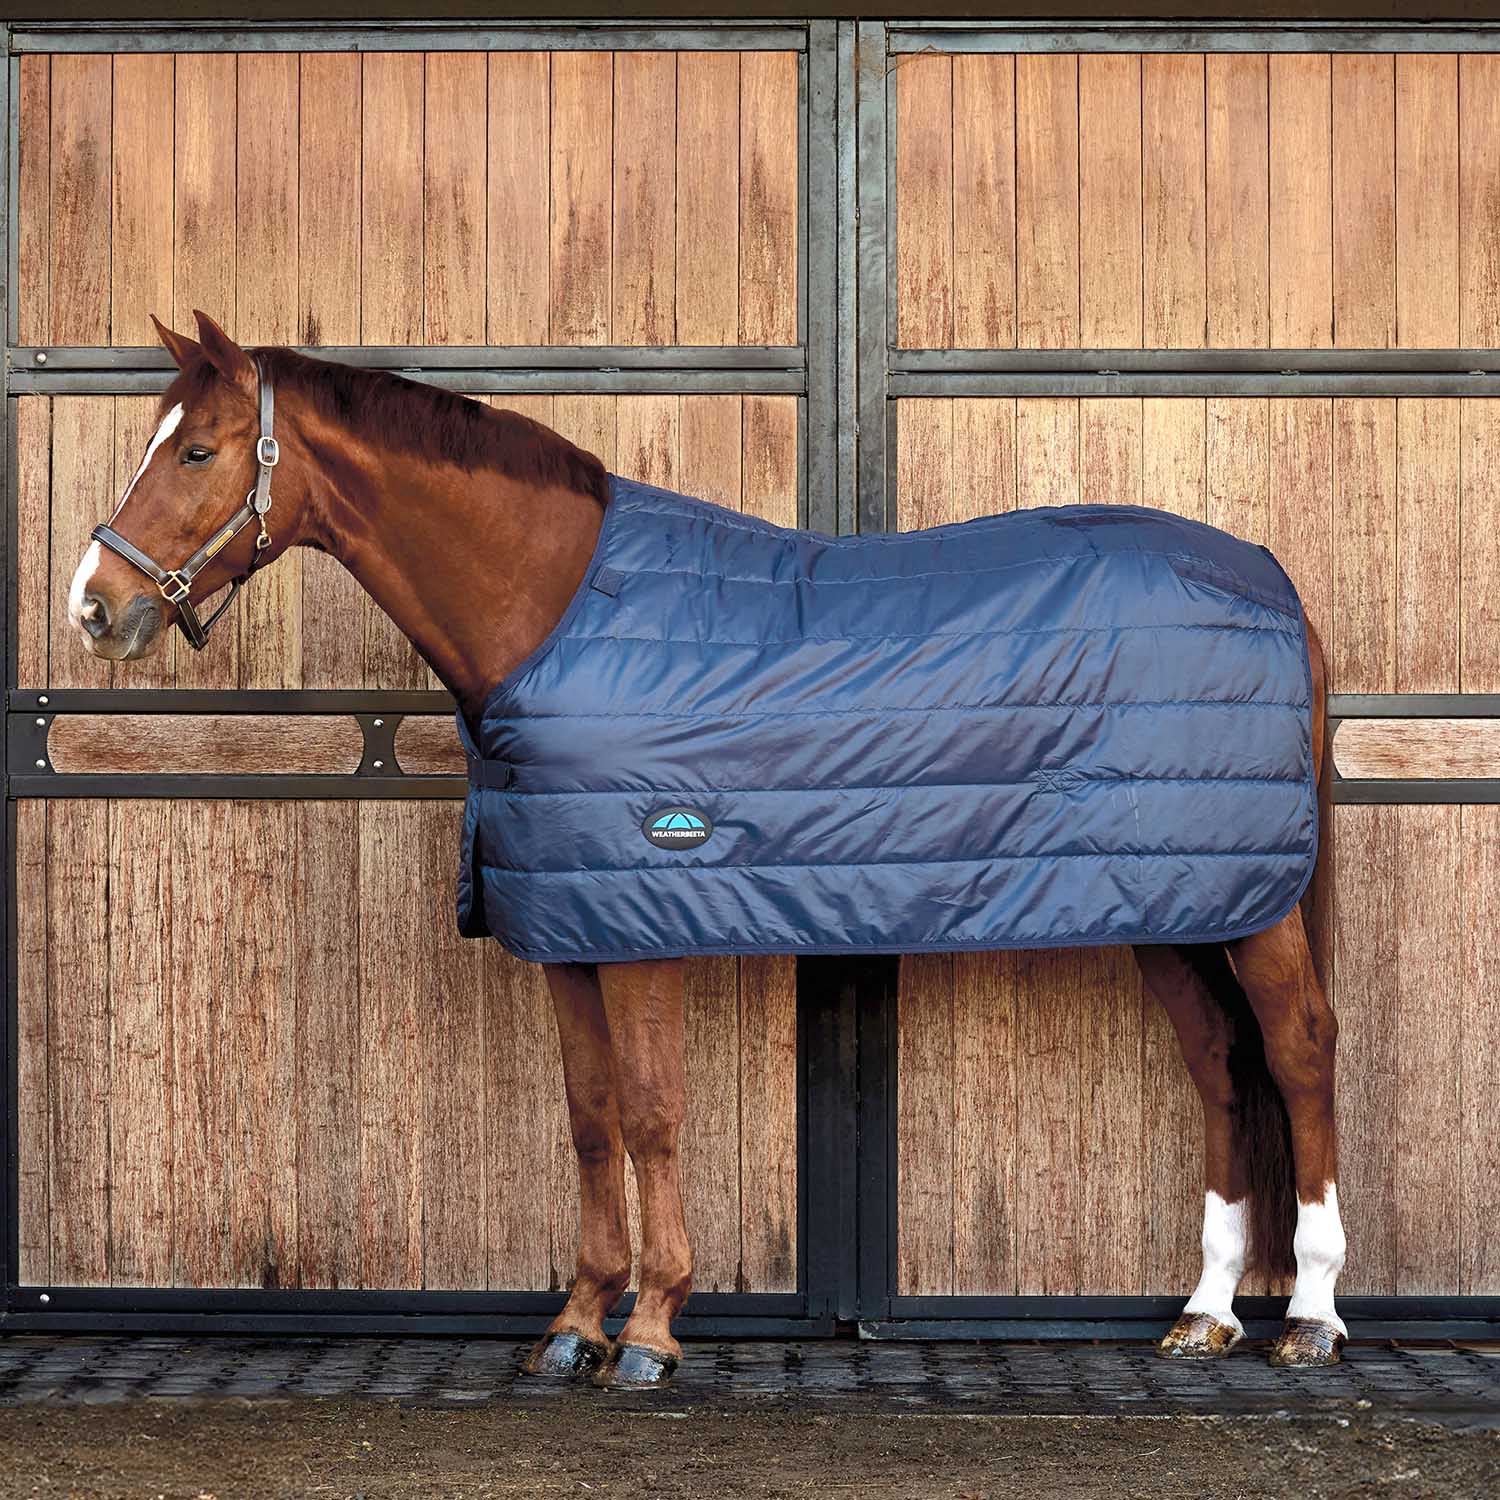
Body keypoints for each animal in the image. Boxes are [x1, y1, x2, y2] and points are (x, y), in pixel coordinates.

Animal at [68, 312, 1347, 1388]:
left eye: (198, 452)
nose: (93, 607)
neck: (556, 615)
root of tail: (1273, 580)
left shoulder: (643, 916)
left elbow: (648, 1112)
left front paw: (650, 1329)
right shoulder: (569, 924)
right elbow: (590, 1117)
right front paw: (576, 1324)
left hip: (1254, 907)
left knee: (1296, 1052)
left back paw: (1312, 1317)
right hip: (1171, 901)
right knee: (1219, 1064)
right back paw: (1207, 1314)